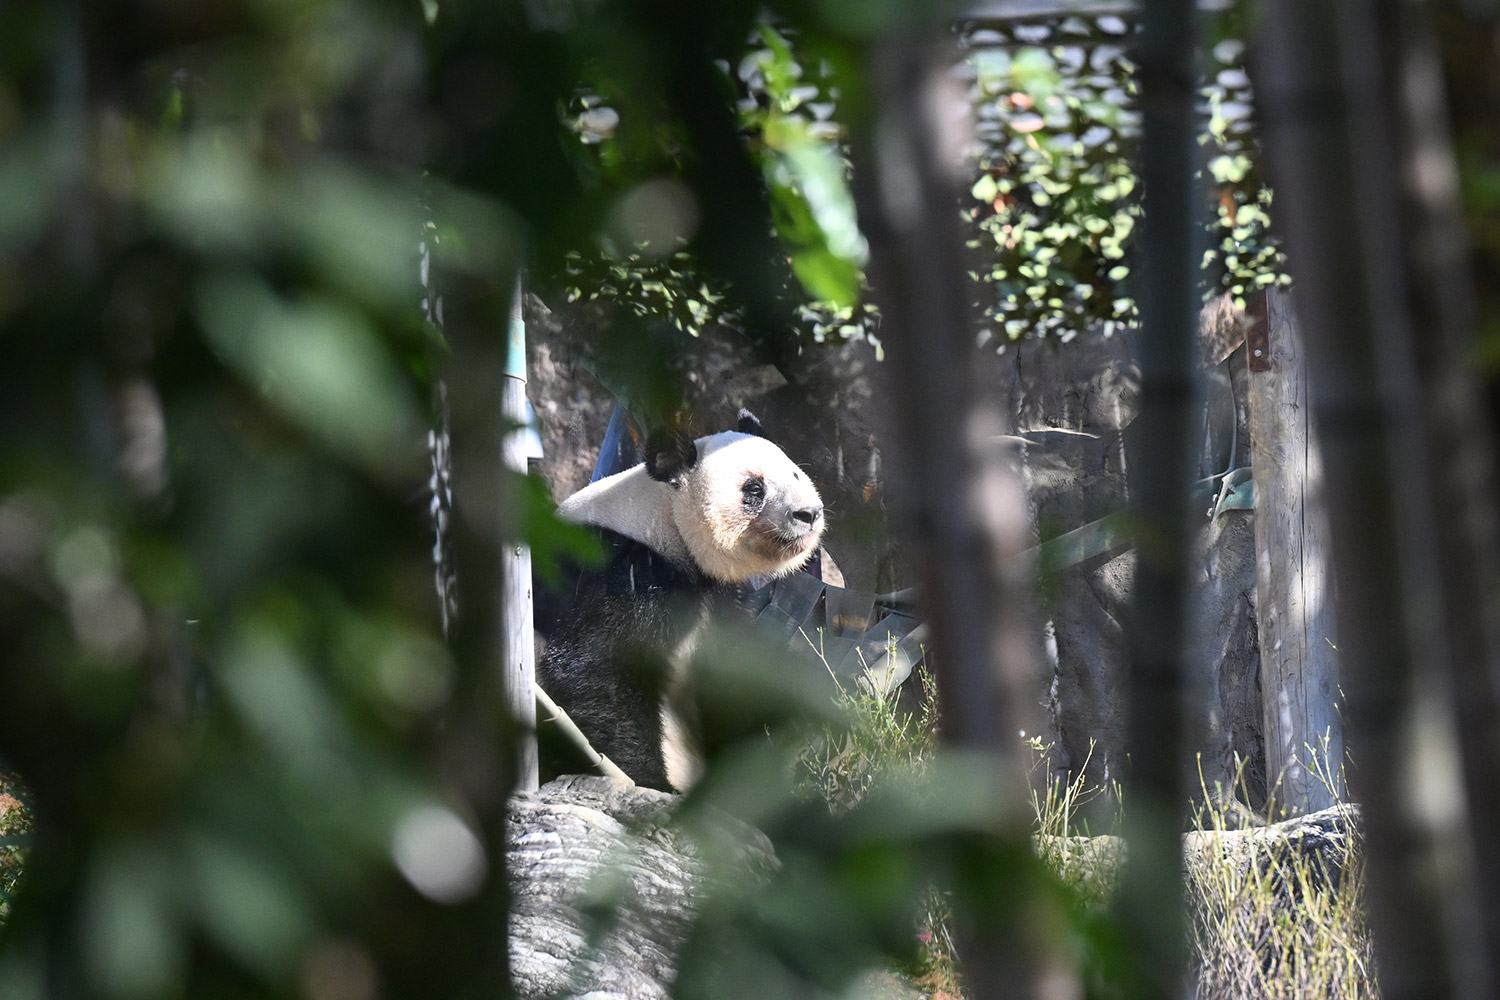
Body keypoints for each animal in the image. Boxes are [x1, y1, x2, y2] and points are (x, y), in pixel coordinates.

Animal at [535, 410, 824, 792]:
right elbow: (598, 670)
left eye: (795, 473)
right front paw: (649, 779)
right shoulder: (614, 571)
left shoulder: (719, 600)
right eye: (754, 488)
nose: (808, 514)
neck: (660, 518)